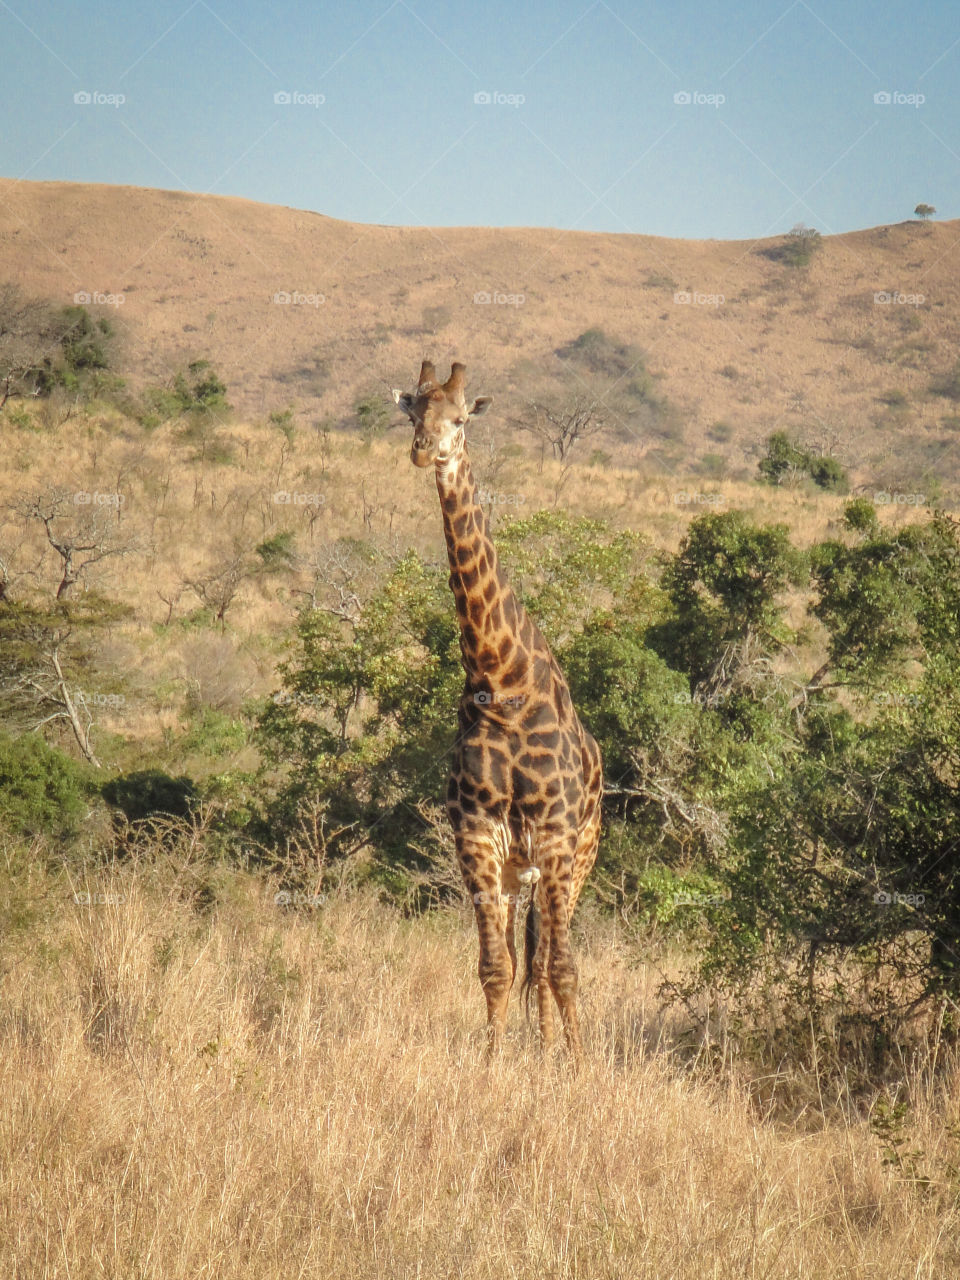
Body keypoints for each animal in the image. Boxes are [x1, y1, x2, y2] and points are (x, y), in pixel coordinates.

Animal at [391, 358, 601, 1059]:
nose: (425, 449)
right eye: (412, 411)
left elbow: (562, 967)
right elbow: (495, 966)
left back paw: (555, 1050)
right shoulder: (478, 837)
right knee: (524, 957)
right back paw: (536, 1047)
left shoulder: (558, 840)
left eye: (461, 418)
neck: (498, 677)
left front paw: (578, 1066)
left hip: (577, 860)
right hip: (518, 869)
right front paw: (489, 1062)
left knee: (550, 959)